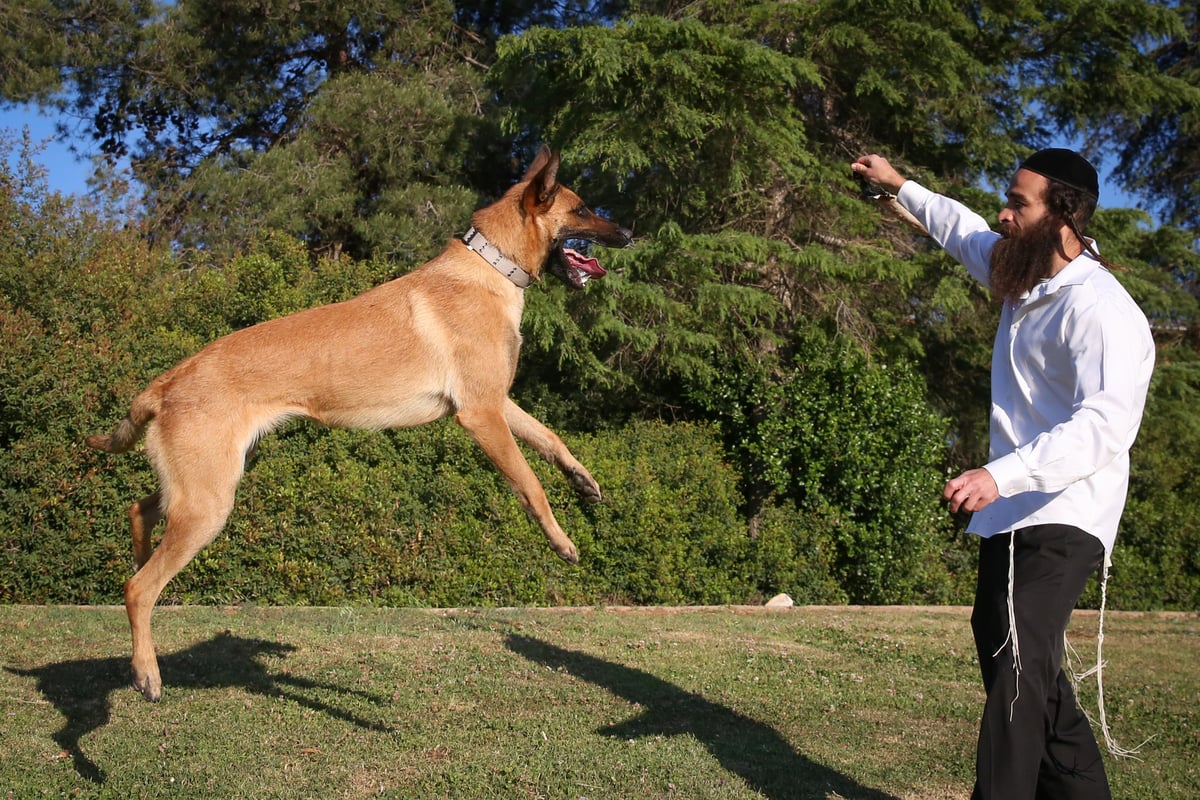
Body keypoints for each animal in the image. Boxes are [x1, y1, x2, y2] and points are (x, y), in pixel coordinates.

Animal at [88, 145, 633, 700]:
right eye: (583, 209)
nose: (630, 235)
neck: (491, 266)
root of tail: (165, 382)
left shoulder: (497, 401)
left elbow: (549, 437)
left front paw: (582, 480)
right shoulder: (481, 413)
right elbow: (530, 484)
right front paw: (562, 542)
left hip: (203, 484)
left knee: (138, 512)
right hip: (208, 504)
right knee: (137, 588)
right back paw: (146, 672)